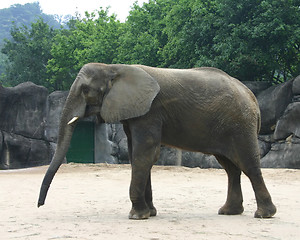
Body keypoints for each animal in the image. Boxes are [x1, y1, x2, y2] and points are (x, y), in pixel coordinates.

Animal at [38, 63, 278, 219]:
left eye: (86, 90)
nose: (40, 205)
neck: (114, 67)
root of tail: (252, 96)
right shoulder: (137, 112)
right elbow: (138, 155)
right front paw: (150, 213)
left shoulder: (150, 111)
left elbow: (144, 154)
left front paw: (137, 216)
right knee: (230, 167)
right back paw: (229, 212)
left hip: (239, 124)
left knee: (248, 164)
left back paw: (264, 215)